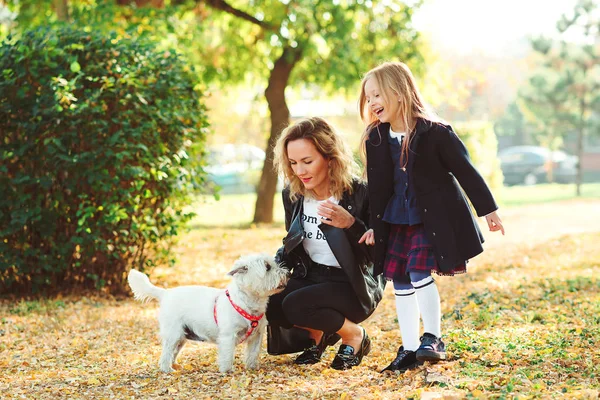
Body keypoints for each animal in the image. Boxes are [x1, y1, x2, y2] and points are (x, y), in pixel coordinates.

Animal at [126, 255, 288, 374]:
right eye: (267, 267)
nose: (287, 273)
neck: (247, 303)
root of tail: (165, 293)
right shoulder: (228, 336)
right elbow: (227, 354)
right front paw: (227, 370)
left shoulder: (257, 335)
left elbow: (253, 353)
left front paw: (252, 367)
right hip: (174, 333)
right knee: (166, 352)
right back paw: (167, 369)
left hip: (182, 336)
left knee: (173, 352)